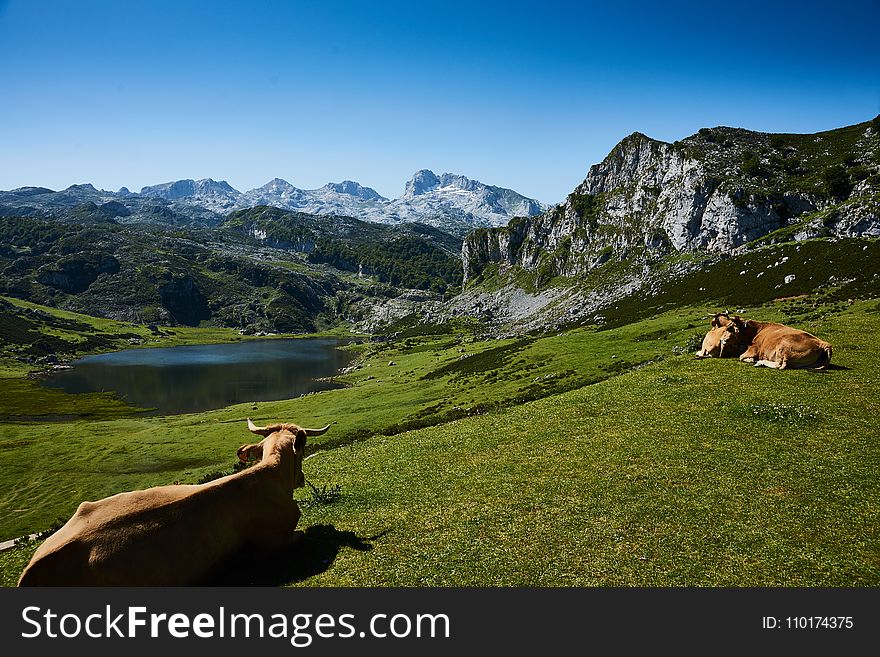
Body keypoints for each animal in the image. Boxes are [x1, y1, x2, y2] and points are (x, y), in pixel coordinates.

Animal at [18, 418, 330, 588]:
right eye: (302, 451)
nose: (302, 479)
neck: (269, 475)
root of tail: (33, 568)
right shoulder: (277, 539)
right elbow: (302, 535)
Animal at [696, 312, 832, 368]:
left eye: (729, 328)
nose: (721, 340)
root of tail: (824, 344)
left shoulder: (752, 350)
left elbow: (742, 357)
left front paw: (752, 360)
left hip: (783, 347)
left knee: (780, 365)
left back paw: (759, 362)